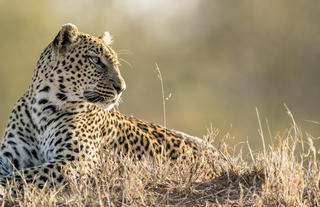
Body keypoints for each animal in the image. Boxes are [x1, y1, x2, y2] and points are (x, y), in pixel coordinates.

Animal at [0, 24, 216, 194]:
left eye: (116, 64)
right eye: (96, 60)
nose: (122, 88)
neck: (43, 107)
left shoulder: (75, 162)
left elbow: (23, 176)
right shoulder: (9, 159)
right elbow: (18, 174)